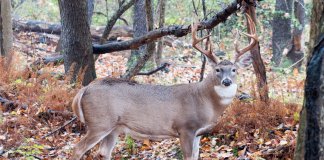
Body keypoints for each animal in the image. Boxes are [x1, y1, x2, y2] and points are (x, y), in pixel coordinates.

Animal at [71, 14, 258, 160]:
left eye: (234, 70)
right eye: (217, 70)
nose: (226, 81)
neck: (204, 100)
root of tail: (84, 89)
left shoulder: (198, 133)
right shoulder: (185, 127)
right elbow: (188, 157)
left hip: (114, 127)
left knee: (103, 152)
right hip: (99, 122)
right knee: (77, 149)